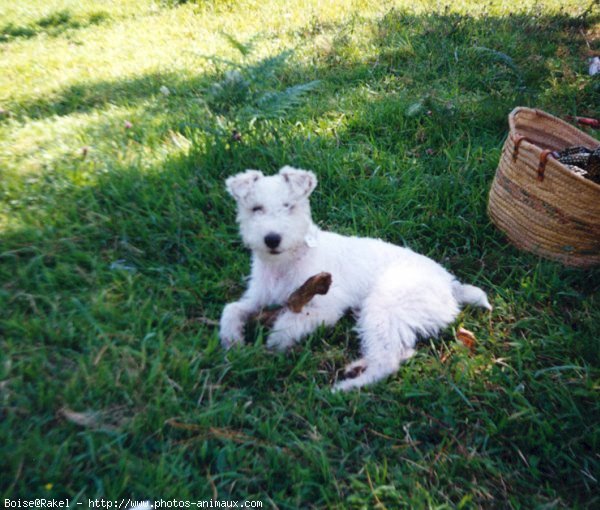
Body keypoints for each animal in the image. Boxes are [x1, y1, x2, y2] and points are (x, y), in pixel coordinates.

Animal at [218, 166, 490, 390]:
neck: (287, 261)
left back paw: (346, 388)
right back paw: (355, 369)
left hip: (384, 306)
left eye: (289, 206)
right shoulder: (257, 297)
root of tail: (451, 285)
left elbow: (288, 322)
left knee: (387, 361)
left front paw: (274, 343)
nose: (272, 239)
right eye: (256, 209)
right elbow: (231, 309)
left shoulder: (324, 305)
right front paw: (232, 342)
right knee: (402, 351)